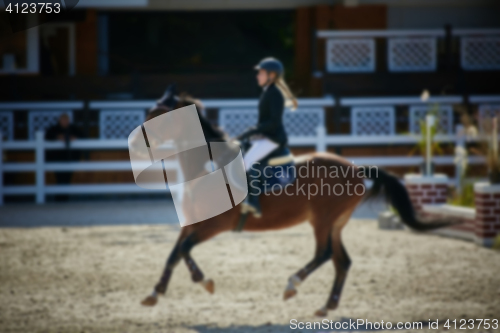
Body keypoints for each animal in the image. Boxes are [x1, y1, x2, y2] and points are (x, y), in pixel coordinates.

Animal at [140, 94, 454, 316]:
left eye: (160, 116)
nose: (138, 146)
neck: (206, 168)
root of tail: (355, 168)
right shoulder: (193, 224)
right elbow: (174, 253)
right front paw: (154, 293)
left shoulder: (215, 225)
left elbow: (184, 249)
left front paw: (203, 281)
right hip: (335, 224)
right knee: (342, 261)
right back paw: (327, 306)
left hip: (322, 221)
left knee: (324, 254)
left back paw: (293, 284)